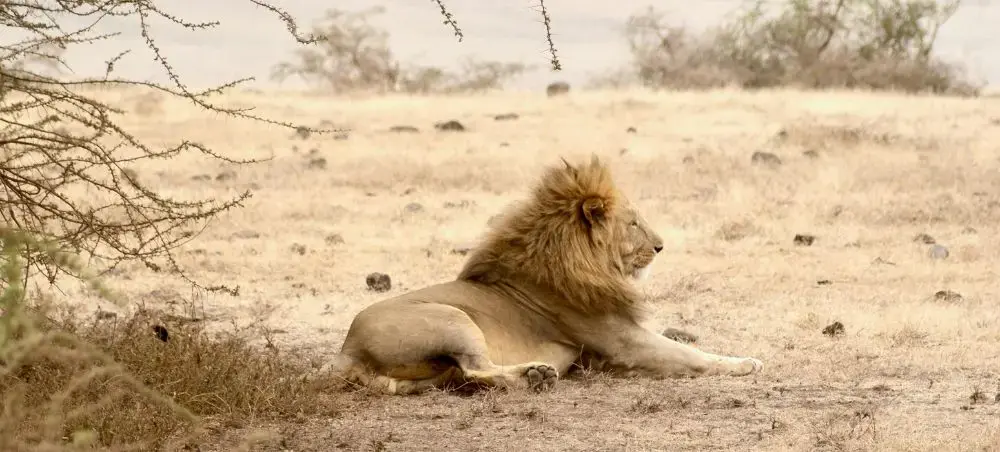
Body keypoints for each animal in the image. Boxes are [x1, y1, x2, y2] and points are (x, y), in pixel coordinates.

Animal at [333, 155, 763, 394]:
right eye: (634, 224)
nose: (660, 247)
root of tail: (347, 349)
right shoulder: (623, 341)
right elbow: (690, 355)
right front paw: (745, 363)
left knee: (464, 377)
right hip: (451, 318)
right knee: (477, 368)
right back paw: (536, 376)